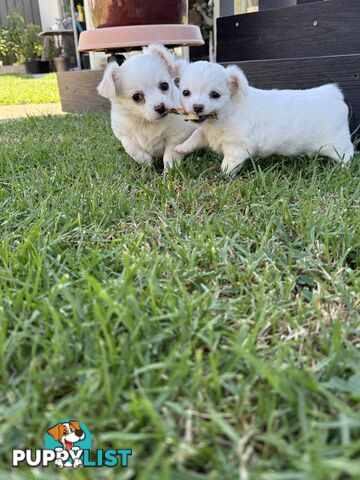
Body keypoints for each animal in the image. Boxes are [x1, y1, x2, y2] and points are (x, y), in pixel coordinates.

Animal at [97, 43, 194, 171]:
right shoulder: (123, 135)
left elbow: (170, 154)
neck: (146, 122)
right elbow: (132, 148)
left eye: (164, 85)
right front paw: (146, 161)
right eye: (136, 97)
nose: (160, 107)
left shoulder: (177, 135)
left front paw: (169, 170)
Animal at [175, 61, 354, 174]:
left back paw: (344, 169)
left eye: (215, 95)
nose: (197, 107)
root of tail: (332, 93)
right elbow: (195, 137)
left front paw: (223, 173)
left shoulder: (237, 147)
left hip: (337, 143)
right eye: (186, 92)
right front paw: (181, 148)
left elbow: (229, 162)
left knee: (348, 153)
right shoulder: (206, 133)